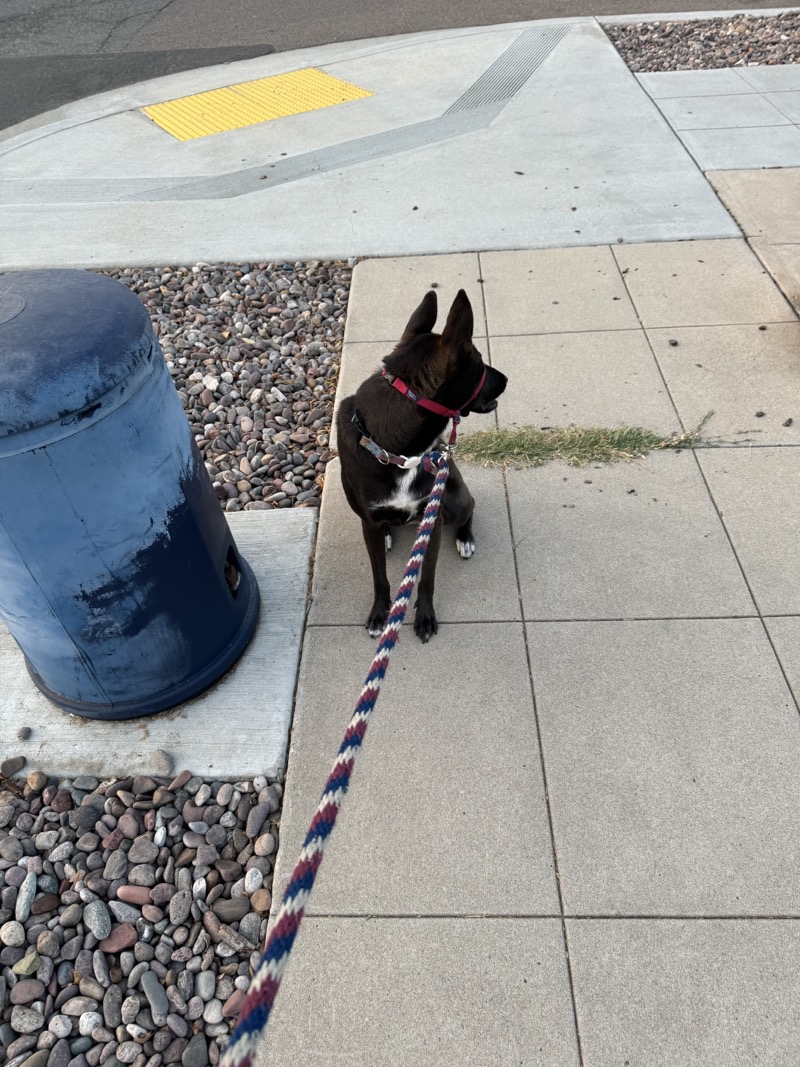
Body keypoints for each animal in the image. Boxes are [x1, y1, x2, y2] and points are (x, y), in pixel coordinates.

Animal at [337, 288, 507, 640]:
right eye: (479, 361)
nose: (506, 379)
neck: (399, 453)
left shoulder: (435, 520)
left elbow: (426, 577)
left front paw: (425, 616)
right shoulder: (368, 522)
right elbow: (379, 577)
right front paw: (380, 613)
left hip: (454, 499)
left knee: (470, 507)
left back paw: (465, 538)